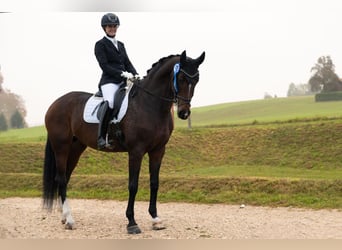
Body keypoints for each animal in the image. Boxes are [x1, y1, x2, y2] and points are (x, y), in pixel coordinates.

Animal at [41, 50, 204, 234]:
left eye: (196, 80)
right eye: (181, 78)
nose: (184, 113)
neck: (149, 104)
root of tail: (55, 104)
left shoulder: (158, 151)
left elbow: (154, 183)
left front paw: (155, 219)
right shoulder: (136, 152)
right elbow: (133, 185)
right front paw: (132, 223)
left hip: (76, 148)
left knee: (65, 178)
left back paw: (64, 217)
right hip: (61, 146)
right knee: (61, 179)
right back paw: (69, 220)